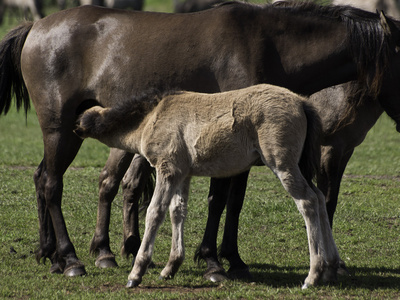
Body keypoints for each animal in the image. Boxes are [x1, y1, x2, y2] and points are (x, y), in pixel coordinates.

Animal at [73, 84, 340, 288]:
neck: (152, 117)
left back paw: (313, 275)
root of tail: (302, 102)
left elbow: (154, 213)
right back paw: (331, 267)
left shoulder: (167, 169)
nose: (73, 130)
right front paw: (170, 268)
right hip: (296, 165)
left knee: (307, 201)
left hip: (282, 164)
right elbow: (177, 212)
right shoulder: (182, 174)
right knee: (319, 197)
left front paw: (136, 274)